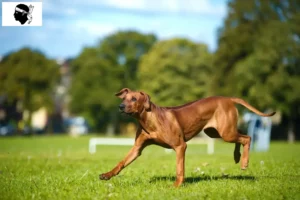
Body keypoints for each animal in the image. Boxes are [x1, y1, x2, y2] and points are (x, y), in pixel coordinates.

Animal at [99, 88, 276, 187]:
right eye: (123, 98)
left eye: (134, 99)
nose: (121, 106)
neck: (149, 120)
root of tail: (227, 98)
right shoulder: (137, 148)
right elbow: (122, 162)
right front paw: (107, 174)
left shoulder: (180, 146)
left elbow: (179, 168)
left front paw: (177, 185)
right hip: (217, 131)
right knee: (241, 133)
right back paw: (236, 156)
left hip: (226, 133)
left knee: (247, 138)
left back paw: (244, 162)